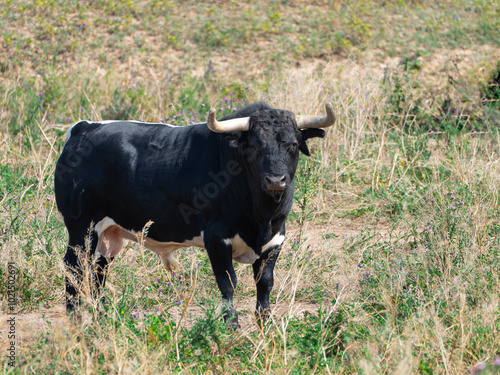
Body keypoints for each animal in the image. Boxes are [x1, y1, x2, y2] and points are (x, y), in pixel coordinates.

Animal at [54, 102, 330, 326]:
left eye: (292, 145)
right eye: (254, 145)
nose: (275, 180)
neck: (261, 218)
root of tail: (84, 127)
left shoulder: (275, 240)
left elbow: (265, 283)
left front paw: (266, 324)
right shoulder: (216, 237)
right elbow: (227, 282)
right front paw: (231, 326)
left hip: (109, 236)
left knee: (98, 274)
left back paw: (103, 320)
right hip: (82, 228)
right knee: (74, 271)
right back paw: (75, 322)